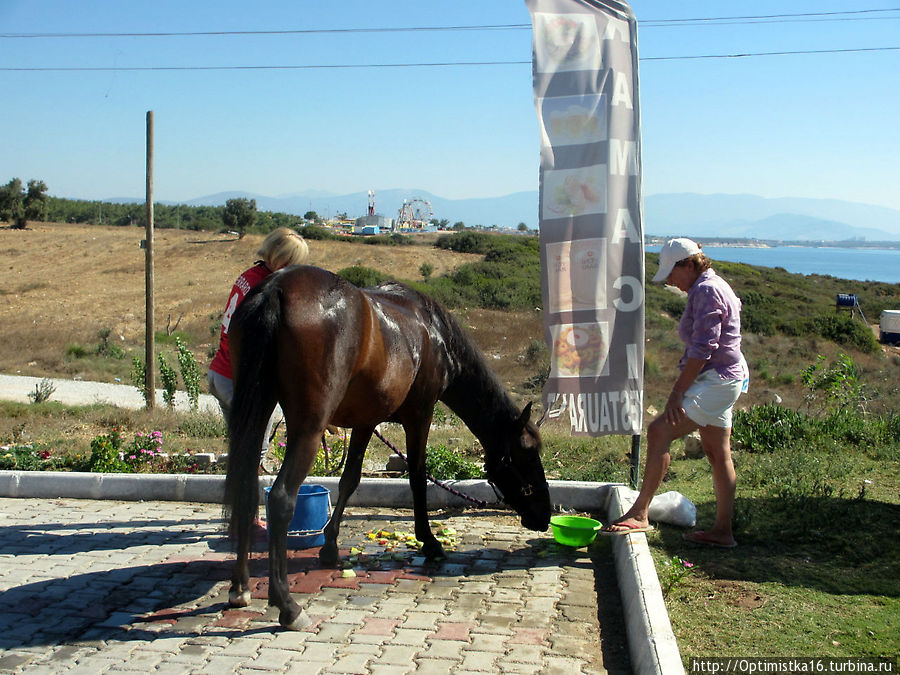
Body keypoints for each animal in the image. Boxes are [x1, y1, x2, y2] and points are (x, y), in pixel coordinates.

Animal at [221, 264, 552, 628]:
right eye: (526, 454)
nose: (545, 515)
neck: (434, 333)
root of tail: (276, 289)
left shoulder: (366, 422)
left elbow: (350, 480)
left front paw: (330, 547)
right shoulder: (420, 415)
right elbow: (417, 477)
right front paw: (429, 541)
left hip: (258, 412)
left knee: (246, 489)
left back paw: (240, 586)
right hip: (307, 428)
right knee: (280, 498)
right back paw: (287, 605)